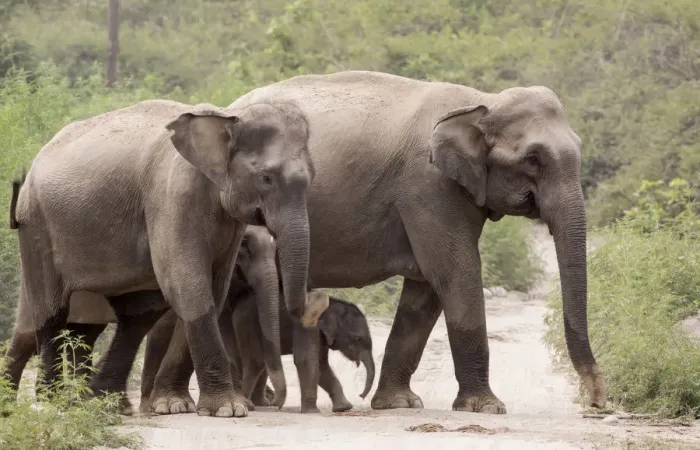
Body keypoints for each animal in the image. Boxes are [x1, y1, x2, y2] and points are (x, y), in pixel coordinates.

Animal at [8, 99, 318, 418]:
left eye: (312, 177)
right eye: (266, 178)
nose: (314, 303)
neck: (226, 116)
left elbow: (211, 290)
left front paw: (178, 405)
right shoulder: (172, 198)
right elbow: (187, 285)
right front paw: (228, 409)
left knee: (138, 315)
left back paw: (102, 400)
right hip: (37, 225)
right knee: (51, 310)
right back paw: (52, 401)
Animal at [213, 70, 604, 414]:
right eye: (534, 159)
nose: (596, 401)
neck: (482, 102)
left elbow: (425, 289)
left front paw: (398, 404)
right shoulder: (428, 186)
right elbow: (455, 272)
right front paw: (487, 408)